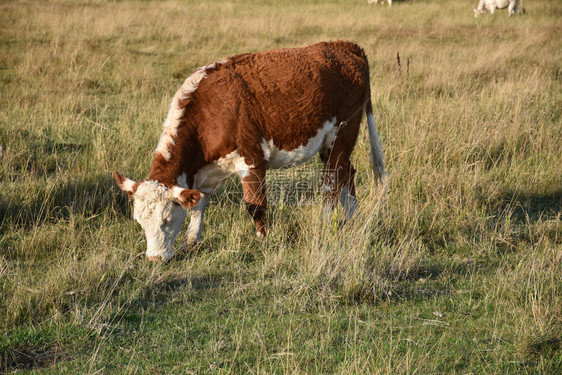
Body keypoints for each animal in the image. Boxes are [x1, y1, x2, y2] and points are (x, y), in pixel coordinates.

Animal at [114, 41, 384, 262]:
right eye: (139, 221)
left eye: (167, 219)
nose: (154, 259)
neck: (210, 111)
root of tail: (345, 45)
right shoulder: (203, 173)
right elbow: (199, 205)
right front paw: (191, 241)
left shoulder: (252, 160)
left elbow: (255, 206)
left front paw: (263, 240)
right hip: (331, 144)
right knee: (347, 173)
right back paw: (354, 218)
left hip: (343, 134)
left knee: (332, 183)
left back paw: (324, 223)